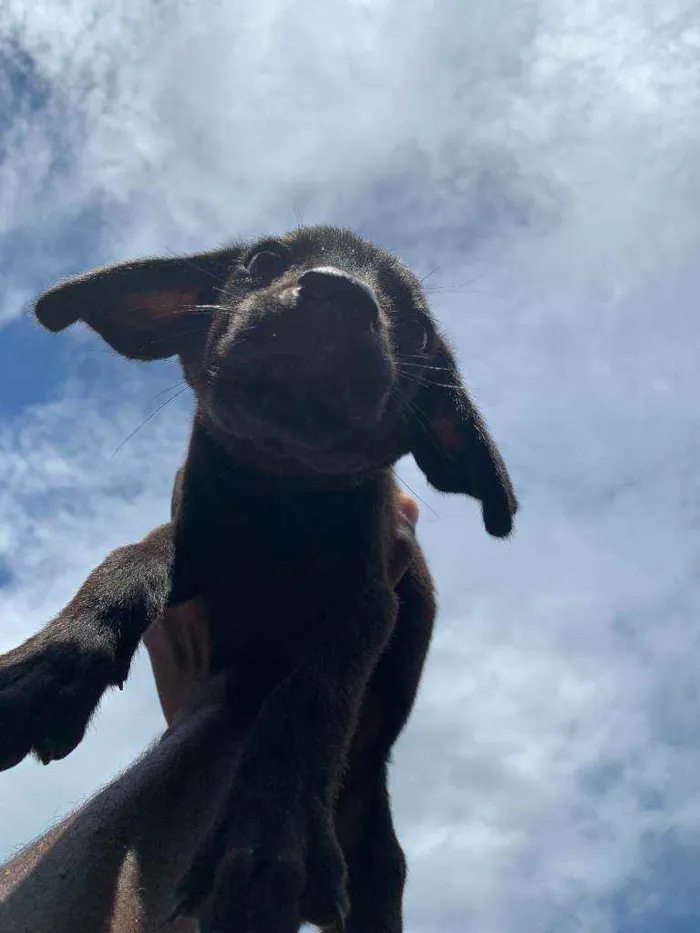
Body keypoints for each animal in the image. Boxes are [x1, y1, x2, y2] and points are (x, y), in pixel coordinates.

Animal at [0, 228, 516, 932]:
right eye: (264, 263)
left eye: (413, 328)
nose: (339, 294)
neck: (280, 491)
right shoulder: (196, 538)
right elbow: (128, 558)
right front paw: (50, 663)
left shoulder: (366, 598)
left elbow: (311, 693)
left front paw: (268, 841)